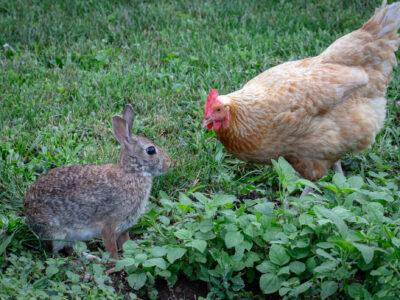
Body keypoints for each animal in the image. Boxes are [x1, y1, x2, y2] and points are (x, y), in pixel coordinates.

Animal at [23, 104, 170, 258]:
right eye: (151, 150)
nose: (169, 163)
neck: (131, 172)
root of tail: (26, 205)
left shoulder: (123, 227)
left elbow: (125, 243)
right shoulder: (109, 225)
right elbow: (112, 249)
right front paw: (116, 261)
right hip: (57, 233)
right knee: (56, 252)